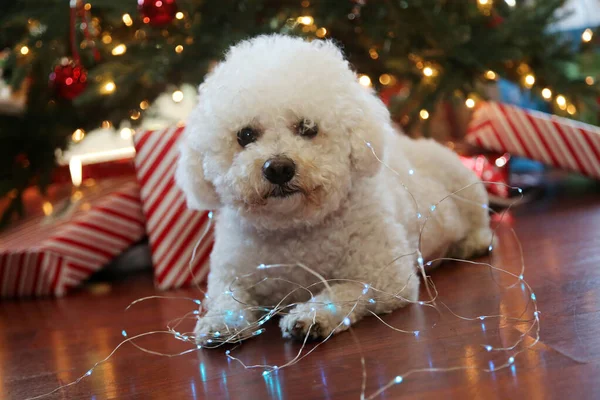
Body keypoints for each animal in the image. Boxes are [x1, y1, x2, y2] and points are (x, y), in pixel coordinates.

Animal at [175, 34, 492, 342]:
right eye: (245, 135)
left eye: (307, 128)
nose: (277, 168)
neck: (293, 232)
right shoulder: (228, 277)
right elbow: (226, 300)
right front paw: (221, 322)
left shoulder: (386, 278)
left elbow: (344, 291)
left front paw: (310, 316)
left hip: (466, 186)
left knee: (481, 225)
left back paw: (472, 243)